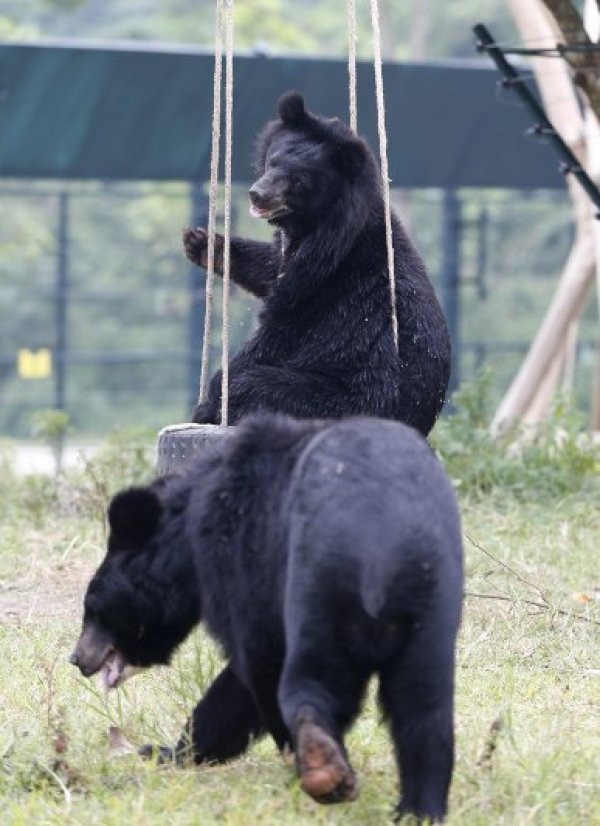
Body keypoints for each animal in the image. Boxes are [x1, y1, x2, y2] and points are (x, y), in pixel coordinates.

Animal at [71, 416, 464, 820]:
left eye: (94, 608)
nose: (78, 659)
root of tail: (383, 549)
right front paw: (165, 752)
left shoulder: (241, 557)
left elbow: (251, 665)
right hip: (432, 602)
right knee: (423, 704)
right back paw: (419, 810)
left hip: (317, 588)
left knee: (311, 679)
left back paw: (319, 764)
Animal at [185, 91, 448, 438]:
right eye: (272, 161)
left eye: (299, 182)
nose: (257, 195)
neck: (315, 228)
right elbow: (268, 267)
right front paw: (200, 242)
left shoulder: (319, 285)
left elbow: (275, 335)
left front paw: (206, 406)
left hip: (336, 399)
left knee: (254, 385)